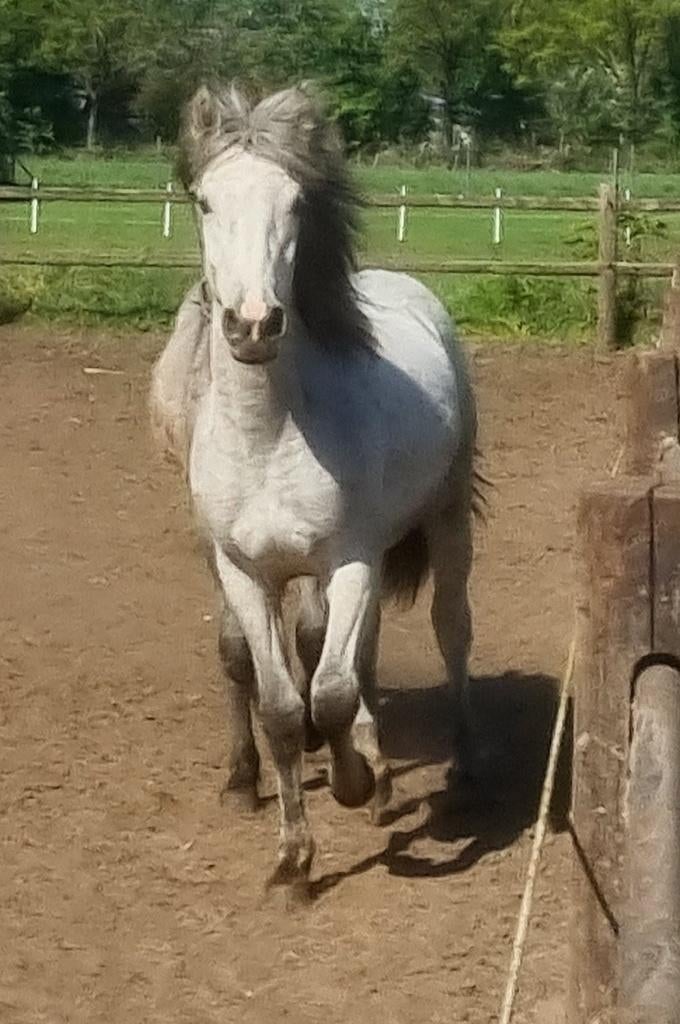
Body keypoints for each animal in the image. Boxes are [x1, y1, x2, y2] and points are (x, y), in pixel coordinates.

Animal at [150, 83, 479, 894]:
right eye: (204, 201)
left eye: (296, 202)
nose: (252, 324)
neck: (267, 437)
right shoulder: (247, 571)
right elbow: (279, 703)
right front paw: (294, 859)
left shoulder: (349, 561)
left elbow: (327, 694)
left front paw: (356, 781)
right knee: (358, 650)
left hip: (447, 519)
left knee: (450, 629)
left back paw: (462, 769)